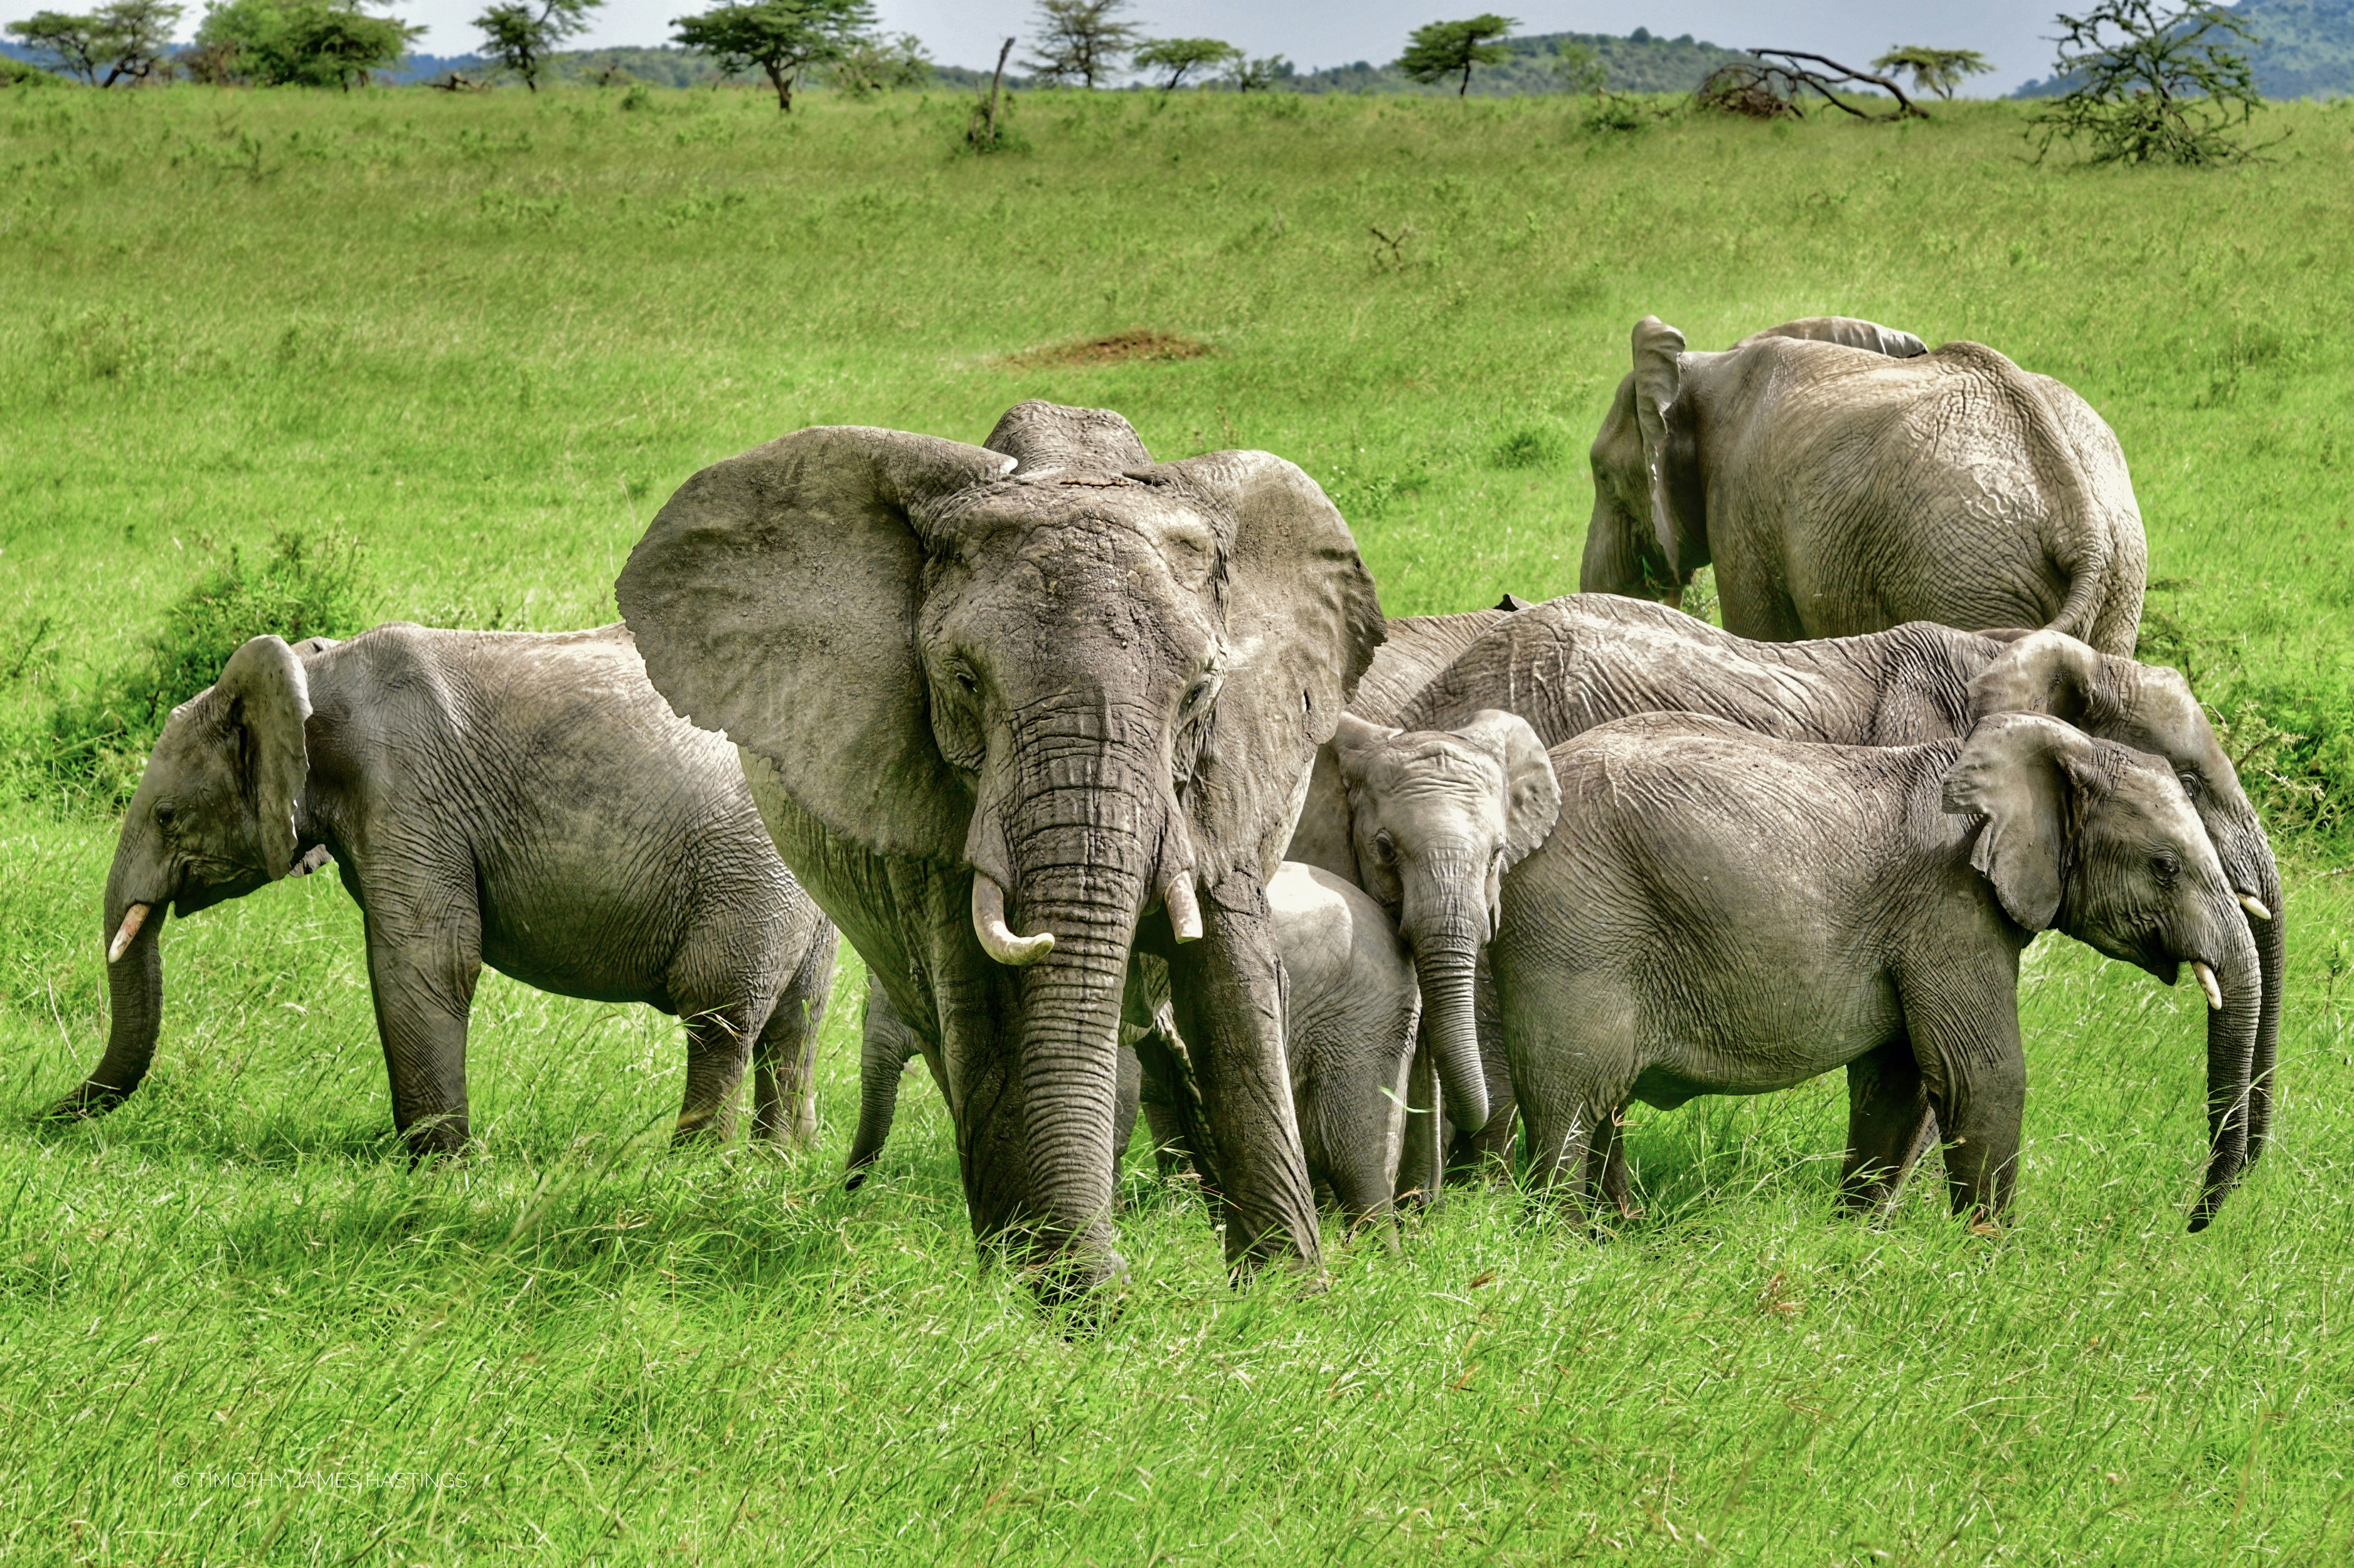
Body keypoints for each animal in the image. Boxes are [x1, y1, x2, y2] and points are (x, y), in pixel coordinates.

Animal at [617, 398, 1384, 1290]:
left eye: (1200, 691)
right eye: (963, 681)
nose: (1119, 1275)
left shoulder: (1228, 778)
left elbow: (1234, 990)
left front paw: (1288, 1295)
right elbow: (980, 1006)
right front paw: (1044, 1294)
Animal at [1506, 706, 2259, 1233]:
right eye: (2165, 867)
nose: (2191, 1226)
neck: (2060, 745)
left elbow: (1899, 1083)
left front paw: (1854, 1238)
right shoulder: (1949, 905)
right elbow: (1981, 1074)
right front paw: (1990, 1260)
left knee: (1601, 1105)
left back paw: (1620, 1232)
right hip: (1578, 922)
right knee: (1572, 1093)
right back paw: (1567, 1242)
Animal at [1591, 310, 2146, 654]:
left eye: (1601, 474)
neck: (1706, 366)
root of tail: (2081, 525)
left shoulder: (1738, 510)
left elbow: (1761, 633)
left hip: (1960, 577)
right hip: (2117, 580)